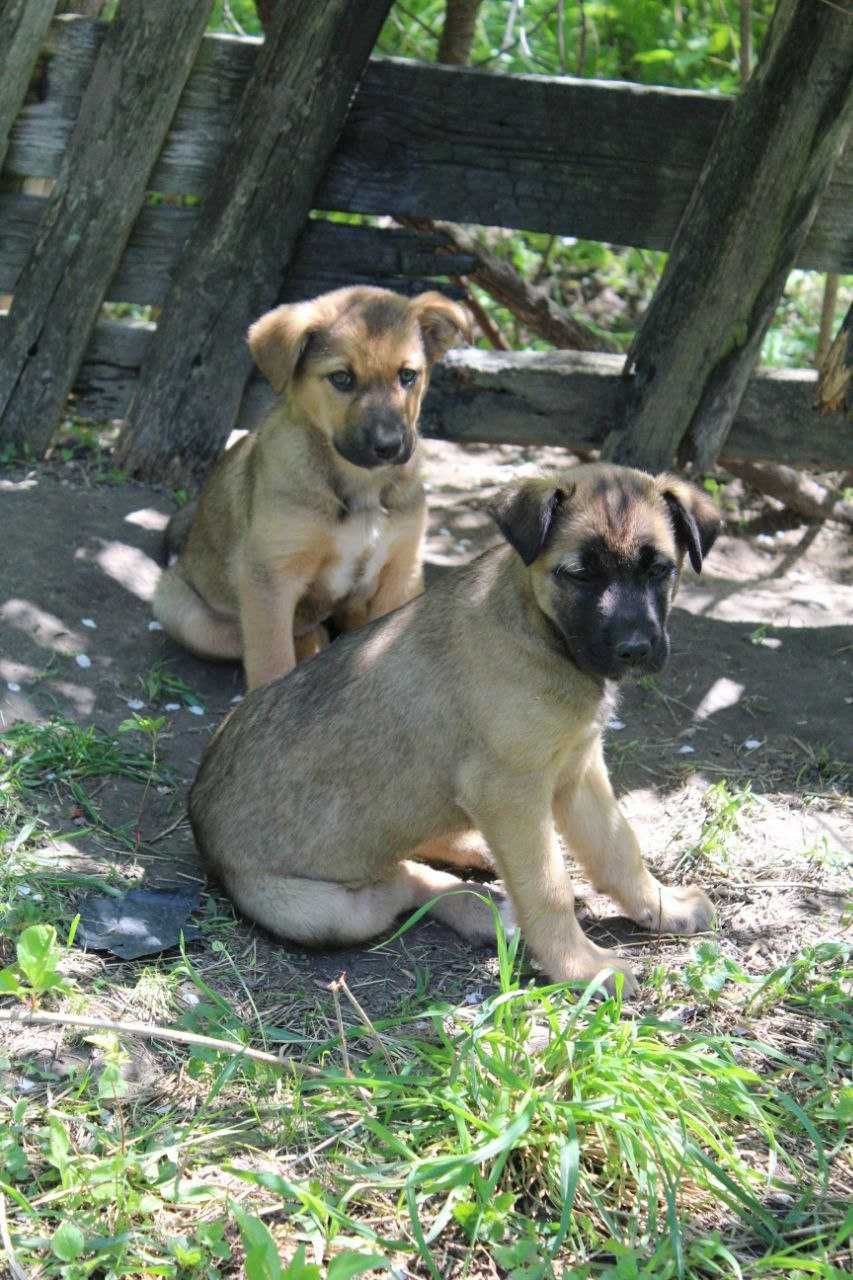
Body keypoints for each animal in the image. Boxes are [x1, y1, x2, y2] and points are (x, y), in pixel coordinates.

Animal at [153, 286, 471, 696]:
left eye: (407, 376)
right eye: (342, 378)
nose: (389, 446)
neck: (358, 485)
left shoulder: (403, 570)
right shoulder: (271, 576)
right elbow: (272, 660)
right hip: (183, 610)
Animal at [190, 465, 717, 993]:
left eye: (659, 570)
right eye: (580, 574)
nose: (635, 649)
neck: (542, 631)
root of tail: (199, 823)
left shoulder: (577, 771)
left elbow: (620, 848)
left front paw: (663, 907)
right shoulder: (510, 790)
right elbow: (549, 888)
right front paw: (582, 969)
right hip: (325, 910)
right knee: (405, 880)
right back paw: (483, 909)